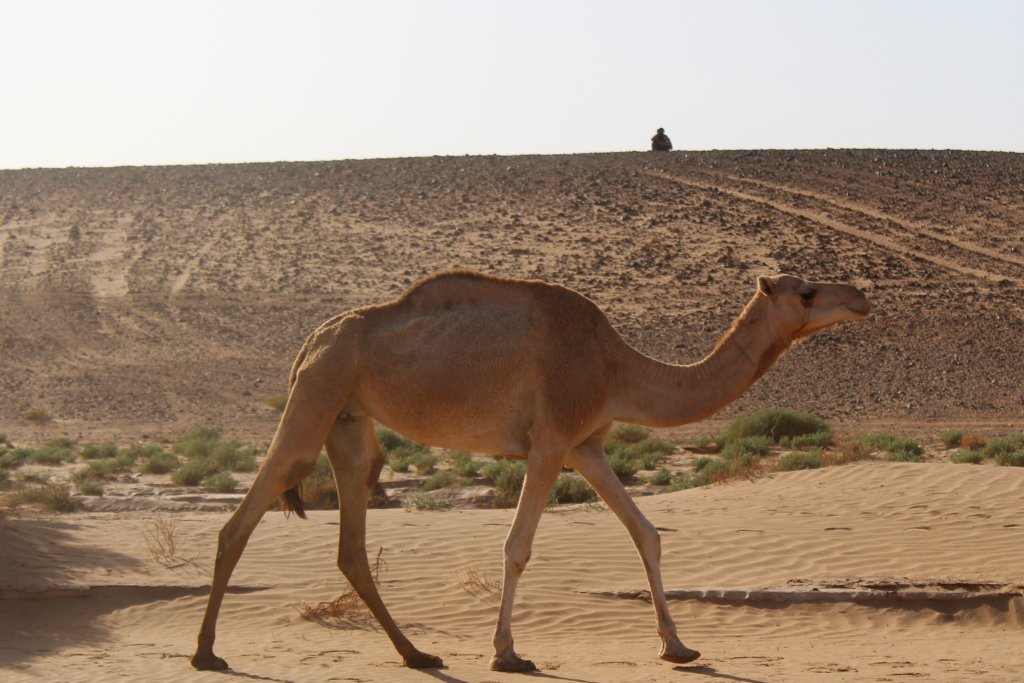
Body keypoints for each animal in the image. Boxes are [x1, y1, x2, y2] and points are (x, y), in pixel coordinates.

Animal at [188, 268, 868, 671]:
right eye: (806, 292)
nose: (861, 297)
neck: (617, 368)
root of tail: (312, 339)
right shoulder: (551, 438)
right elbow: (517, 546)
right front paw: (507, 653)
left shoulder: (586, 444)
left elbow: (645, 532)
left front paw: (677, 645)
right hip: (317, 396)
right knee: (244, 517)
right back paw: (205, 654)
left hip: (349, 423)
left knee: (351, 540)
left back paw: (418, 654)